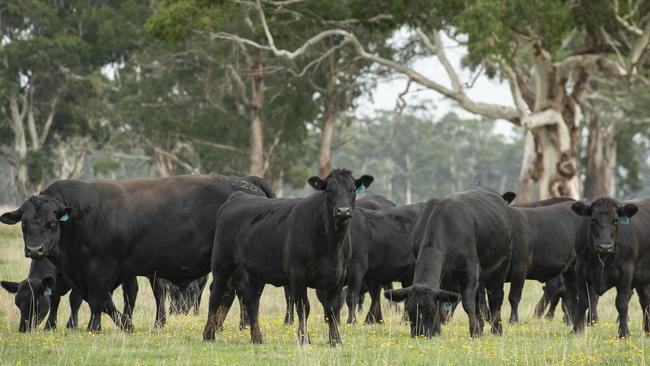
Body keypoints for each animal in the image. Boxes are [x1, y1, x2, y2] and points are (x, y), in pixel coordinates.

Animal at [0, 174, 274, 332]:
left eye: (52, 223)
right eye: (24, 224)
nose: (34, 249)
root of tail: (247, 183)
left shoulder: (100, 269)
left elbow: (100, 301)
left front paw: (100, 327)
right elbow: (100, 301)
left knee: (237, 293)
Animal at [202, 169, 374, 346]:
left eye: (352, 189)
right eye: (328, 191)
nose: (343, 210)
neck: (332, 245)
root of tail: (238, 196)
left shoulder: (339, 276)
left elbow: (332, 309)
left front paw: (335, 341)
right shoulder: (298, 275)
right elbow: (303, 307)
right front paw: (304, 338)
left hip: (254, 271)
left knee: (252, 301)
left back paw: (257, 338)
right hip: (222, 262)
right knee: (216, 294)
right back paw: (209, 335)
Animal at [382, 187, 512, 338]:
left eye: (430, 311)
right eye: (410, 310)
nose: (420, 334)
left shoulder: (471, 269)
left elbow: (468, 303)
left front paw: (474, 332)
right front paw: (437, 330)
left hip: (501, 265)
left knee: (495, 296)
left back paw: (496, 330)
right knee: (479, 299)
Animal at [568, 197, 648, 338]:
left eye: (615, 220)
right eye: (593, 220)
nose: (605, 246)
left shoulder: (626, 271)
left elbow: (621, 303)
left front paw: (623, 334)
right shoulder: (580, 268)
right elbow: (583, 300)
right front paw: (576, 330)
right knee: (645, 300)